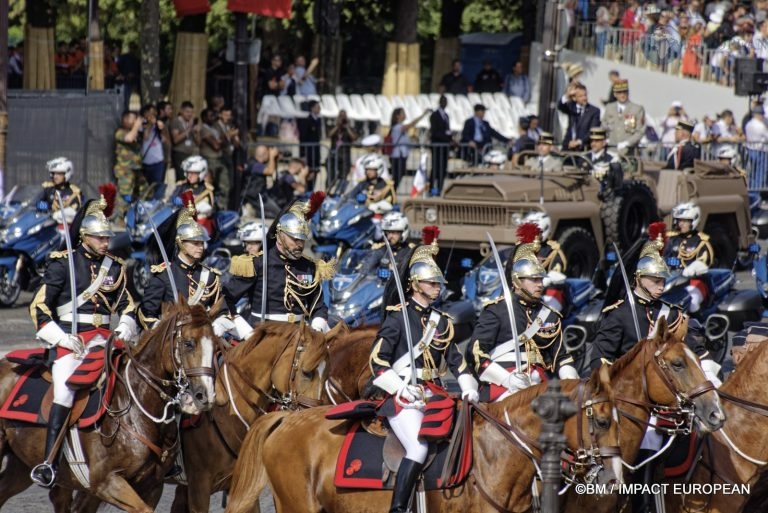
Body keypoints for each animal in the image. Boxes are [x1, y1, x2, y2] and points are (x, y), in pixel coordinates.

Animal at [0, 298, 216, 510]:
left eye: (215, 346)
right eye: (188, 343)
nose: (205, 396)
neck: (136, 409)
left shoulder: (152, 486)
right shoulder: (106, 483)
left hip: (20, 466)